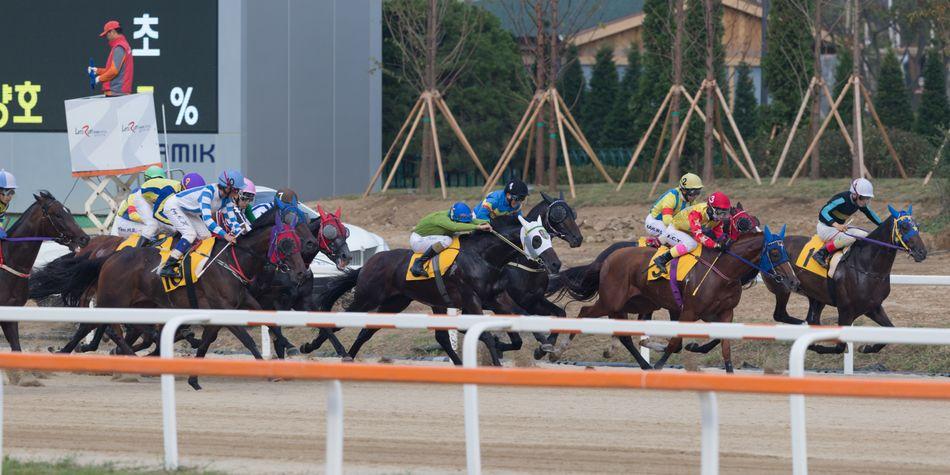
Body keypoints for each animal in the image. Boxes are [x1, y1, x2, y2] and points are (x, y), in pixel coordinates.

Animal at [308, 214, 560, 366]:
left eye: (549, 236)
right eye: (537, 239)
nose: (556, 264)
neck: (483, 257)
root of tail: (369, 263)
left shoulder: (497, 297)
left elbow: (520, 324)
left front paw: (543, 343)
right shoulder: (471, 300)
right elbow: (487, 334)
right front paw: (497, 363)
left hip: (397, 302)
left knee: (369, 331)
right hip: (367, 298)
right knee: (341, 321)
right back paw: (316, 346)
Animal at [768, 203, 928, 356]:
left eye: (917, 226)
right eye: (904, 226)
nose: (922, 252)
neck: (867, 266)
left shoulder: (873, 307)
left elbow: (890, 330)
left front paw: (866, 347)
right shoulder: (845, 310)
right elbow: (839, 347)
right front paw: (818, 346)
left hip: (816, 297)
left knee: (812, 319)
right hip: (783, 287)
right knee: (780, 314)